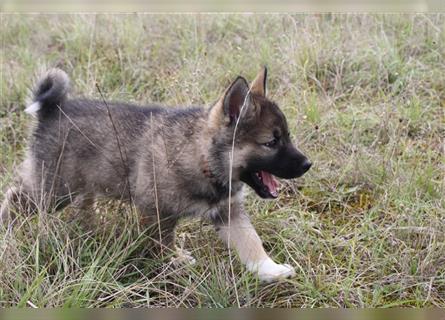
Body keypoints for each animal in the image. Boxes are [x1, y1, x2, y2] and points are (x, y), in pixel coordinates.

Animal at [1, 67, 310, 280]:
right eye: (271, 143)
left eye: (287, 137)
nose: (308, 164)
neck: (204, 159)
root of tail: (51, 110)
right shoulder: (157, 212)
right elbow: (164, 243)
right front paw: (175, 262)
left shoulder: (229, 211)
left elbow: (250, 240)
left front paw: (268, 269)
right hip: (53, 191)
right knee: (15, 197)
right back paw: (7, 232)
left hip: (79, 186)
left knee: (81, 208)